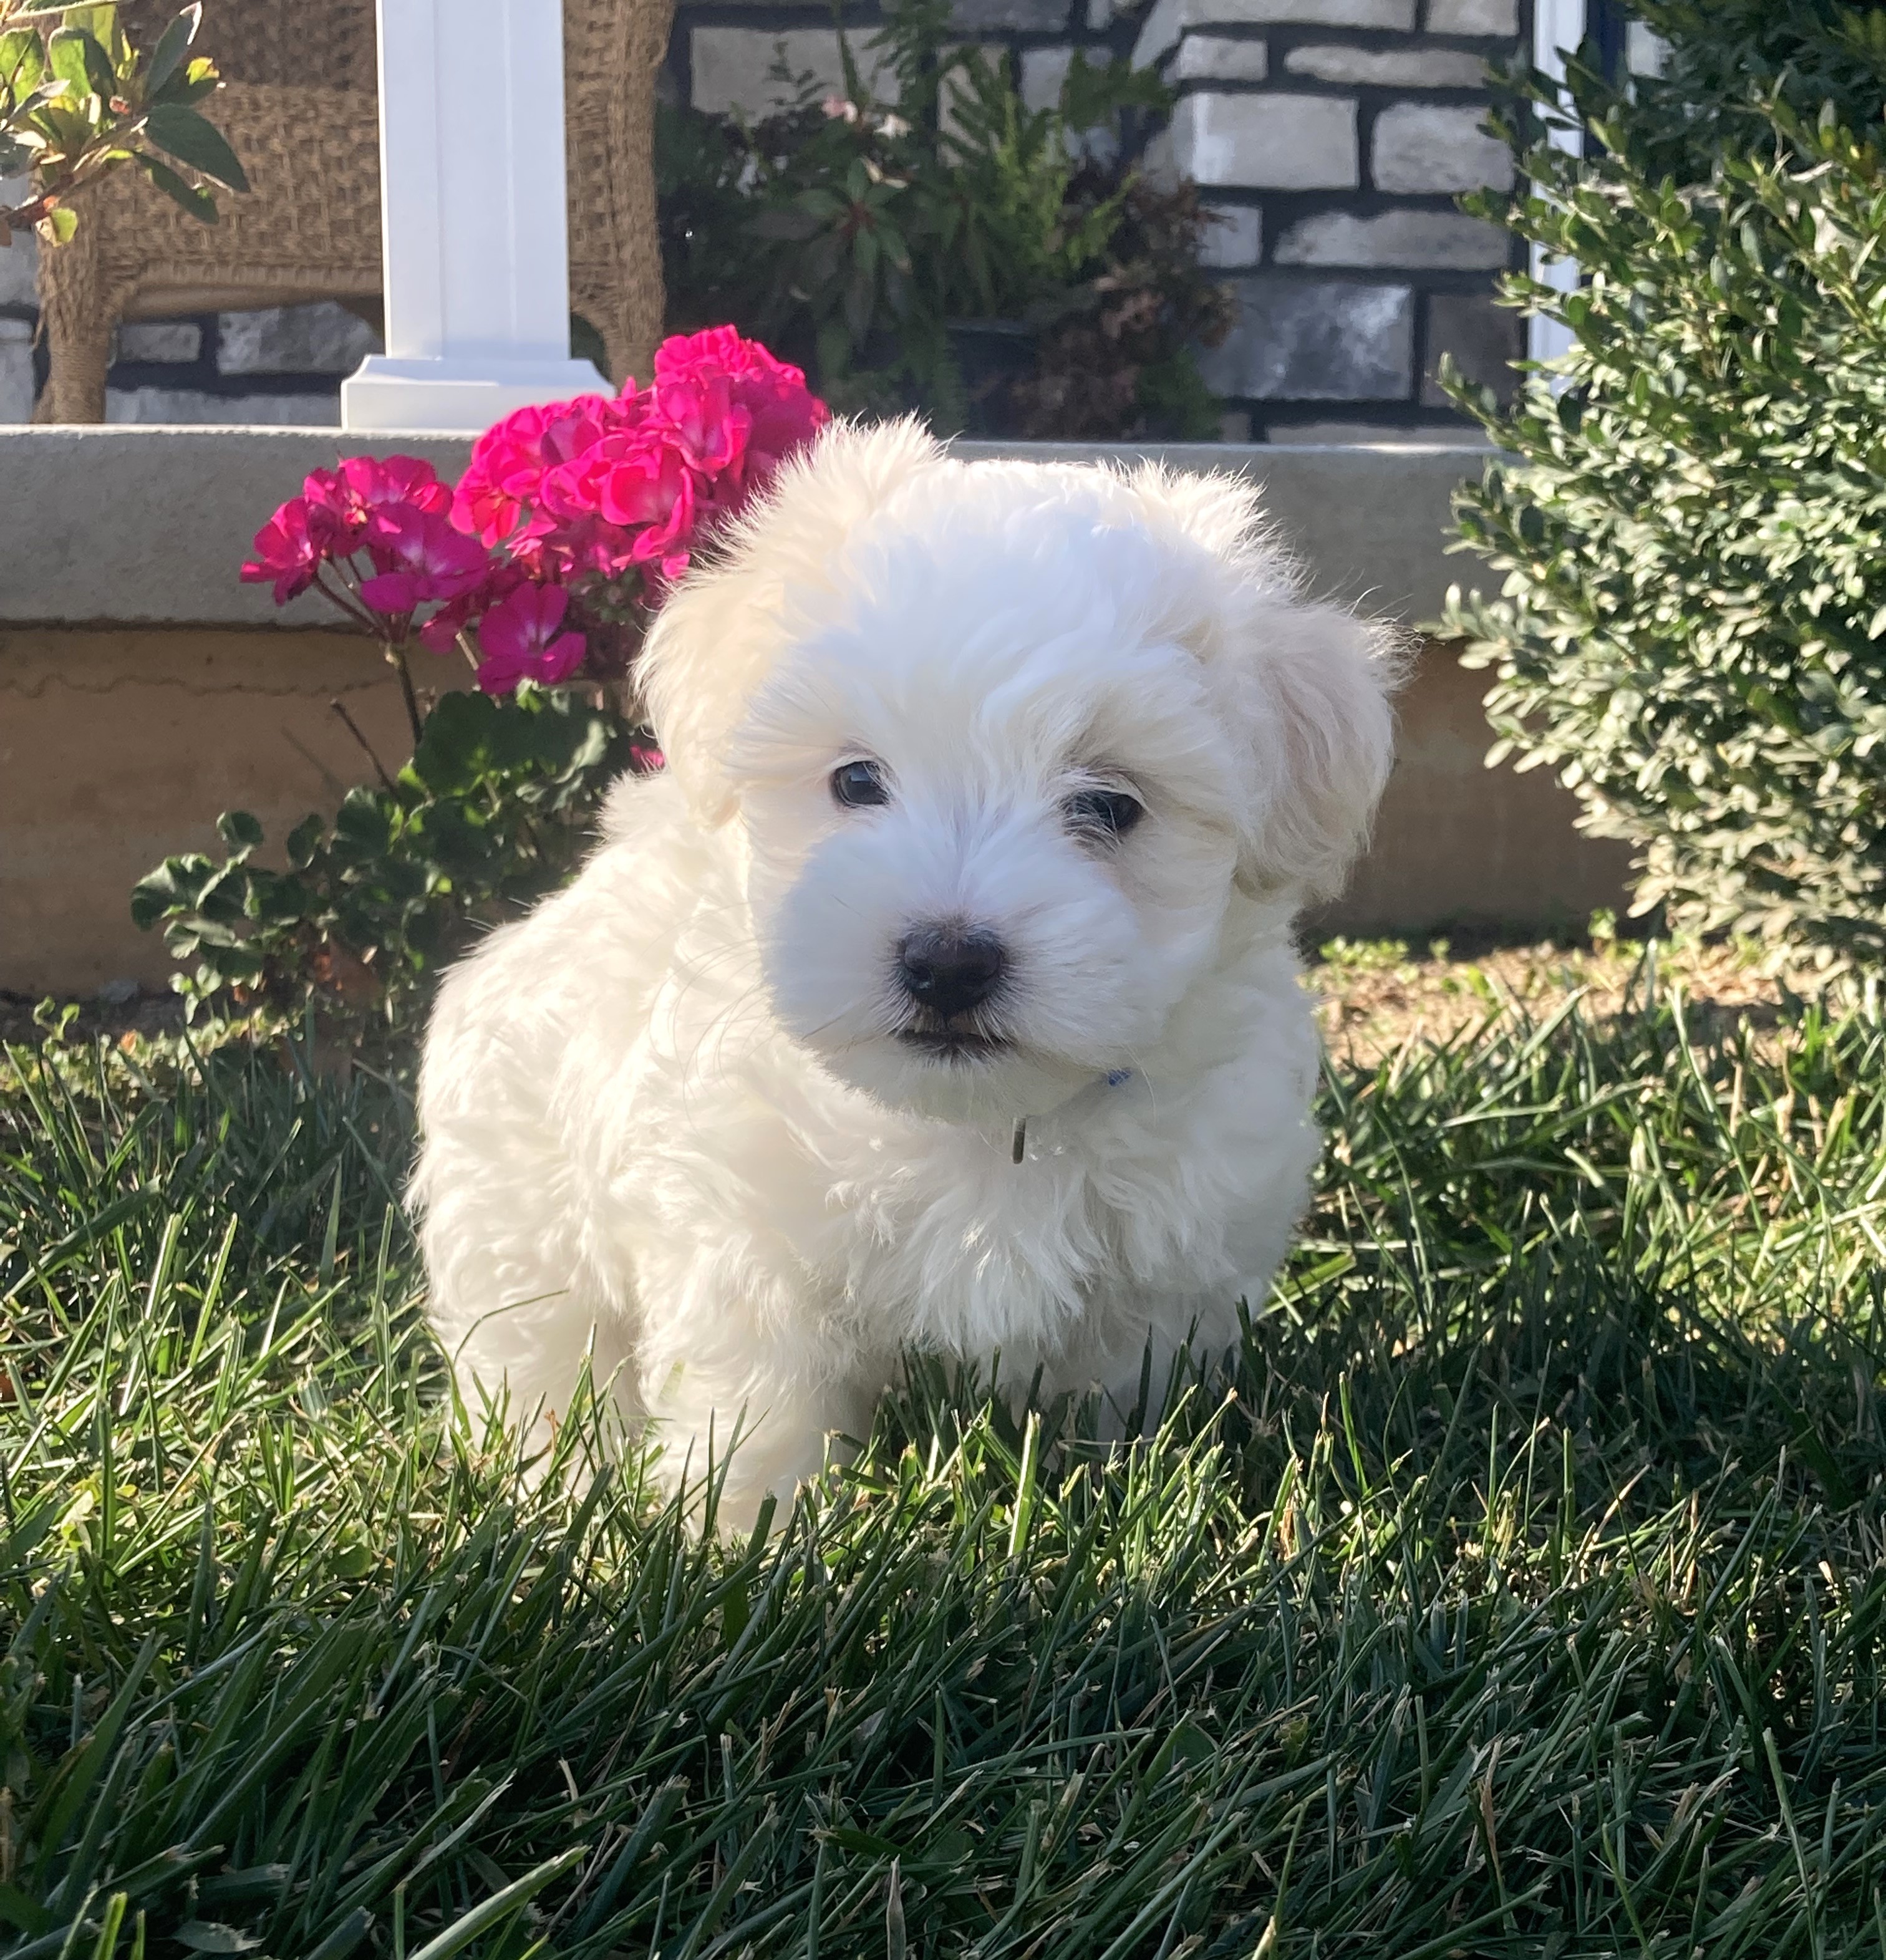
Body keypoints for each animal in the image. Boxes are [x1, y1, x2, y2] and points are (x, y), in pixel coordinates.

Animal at [423, 421, 1396, 1520]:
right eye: (856, 781)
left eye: (1109, 805)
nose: (948, 961)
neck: (973, 1123)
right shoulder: (745, 1237)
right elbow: (758, 1393)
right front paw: (742, 1521)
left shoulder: (1160, 1279)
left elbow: (1116, 1401)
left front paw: (1115, 1492)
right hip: (519, 1200)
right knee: (535, 1342)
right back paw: (545, 1471)